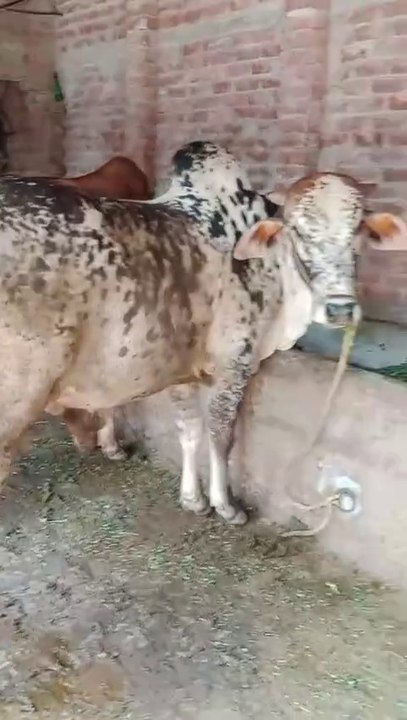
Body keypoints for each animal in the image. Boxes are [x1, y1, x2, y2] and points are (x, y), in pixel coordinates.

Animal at [0, 141, 405, 525]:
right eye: (297, 232)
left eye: (358, 231)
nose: (340, 308)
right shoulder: (235, 365)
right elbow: (220, 437)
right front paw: (226, 506)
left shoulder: (180, 370)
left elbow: (189, 430)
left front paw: (192, 499)